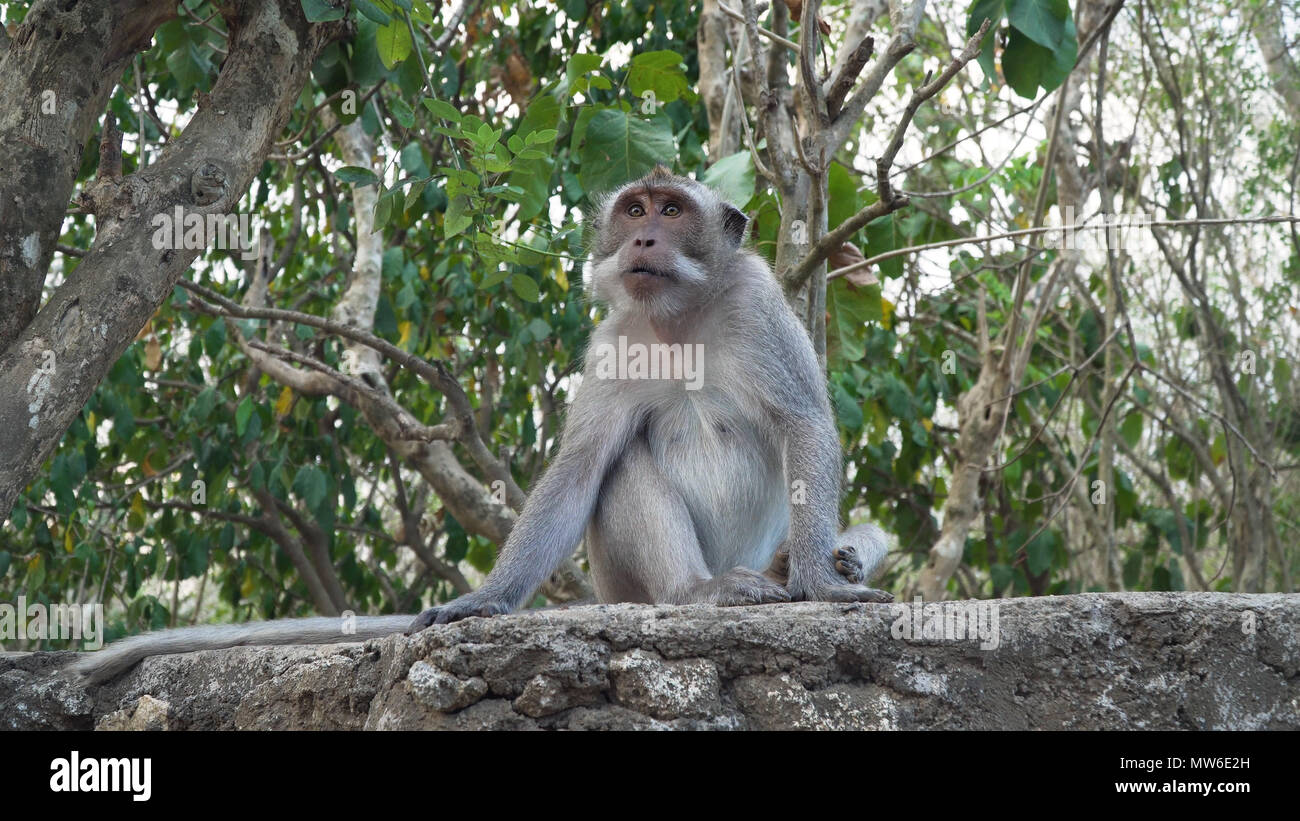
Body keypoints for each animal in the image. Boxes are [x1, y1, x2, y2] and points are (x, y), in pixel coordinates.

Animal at [71, 166, 890, 685]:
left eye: (672, 210)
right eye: (634, 210)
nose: (643, 241)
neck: (676, 319)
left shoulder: (756, 301)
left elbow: (805, 423)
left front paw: (824, 579)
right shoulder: (612, 339)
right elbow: (580, 466)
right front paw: (486, 598)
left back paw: (817, 563)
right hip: (624, 582)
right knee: (622, 469)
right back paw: (697, 591)